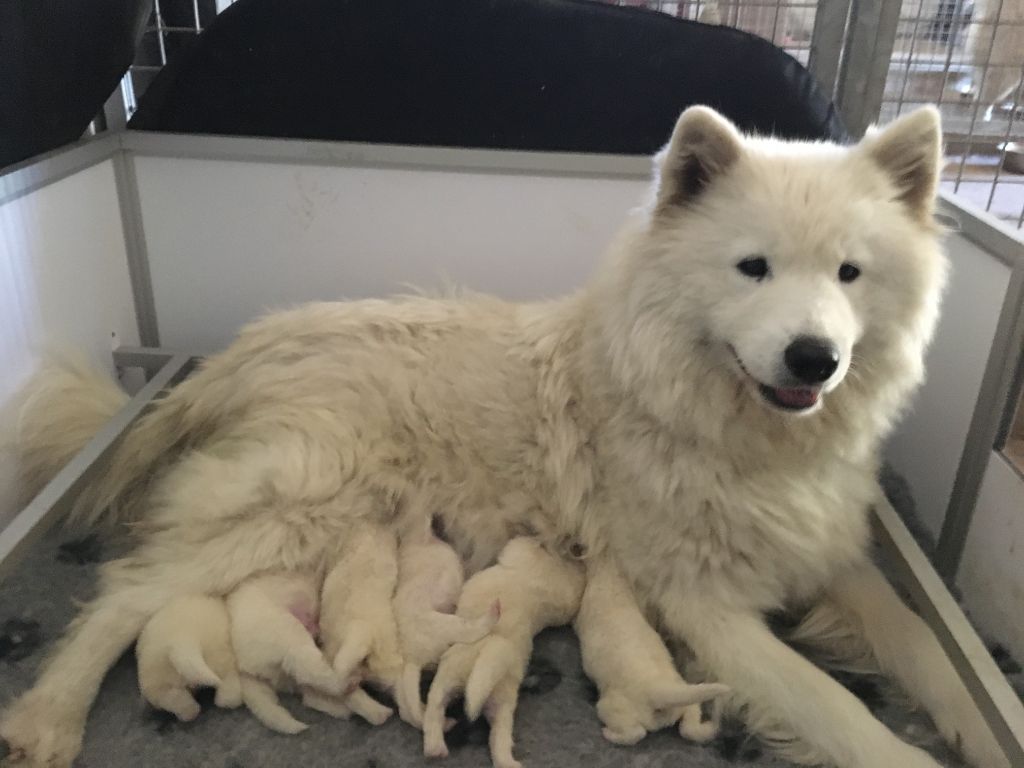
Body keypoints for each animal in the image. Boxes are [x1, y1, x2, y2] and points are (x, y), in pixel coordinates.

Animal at [395, 518, 499, 729]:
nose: (436, 518)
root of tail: (412, 656)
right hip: (447, 624)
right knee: (473, 629)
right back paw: (493, 612)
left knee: (409, 712)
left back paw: (445, 722)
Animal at [421, 540, 585, 768]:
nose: (577, 549)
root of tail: (491, 646)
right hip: (489, 697)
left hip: (457, 680)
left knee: (437, 710)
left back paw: (437, 748)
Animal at [577, 557, 729, 749]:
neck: (614, 579)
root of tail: (661, 692)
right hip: (689, 700)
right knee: (689, 727)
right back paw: (709, 727)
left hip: (613, 707)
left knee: (635, 733)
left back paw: (609, 734)